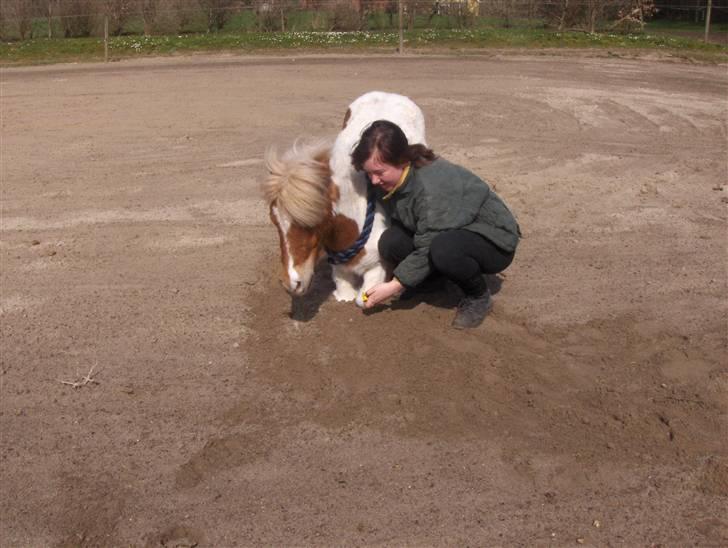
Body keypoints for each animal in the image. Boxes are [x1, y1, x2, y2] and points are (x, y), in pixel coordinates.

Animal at [264, 93, 426, 308]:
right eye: (274, 221)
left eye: (311, 222)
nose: (292, 284)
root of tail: (388, 94)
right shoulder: (338, 265)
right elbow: (344, 291)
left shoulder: (378, 267)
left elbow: (362, 299)